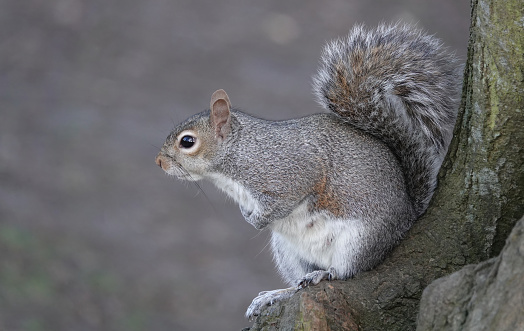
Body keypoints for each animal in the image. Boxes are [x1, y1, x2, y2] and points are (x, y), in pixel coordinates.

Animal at [156, 23, 462, 320]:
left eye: (187, 142)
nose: (159, 162)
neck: (241, 154)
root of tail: (407, 217)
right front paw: (247, 214)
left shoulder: (290, 174)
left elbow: (284, 202)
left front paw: (256, 221)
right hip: (289, 253)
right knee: (298, 284)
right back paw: (276, 294)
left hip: (360, 239)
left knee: (347, 271)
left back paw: (323, 273)